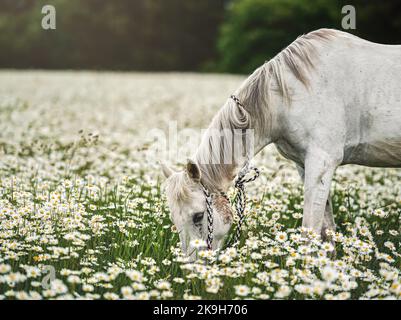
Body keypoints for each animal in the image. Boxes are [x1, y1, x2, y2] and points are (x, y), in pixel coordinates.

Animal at [160, 29, 400, 258]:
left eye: (198, 216)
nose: (192, 266)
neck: (291, 96)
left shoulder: (322, 162)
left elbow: (309, 232)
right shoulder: (305, 165)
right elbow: (326, 230)